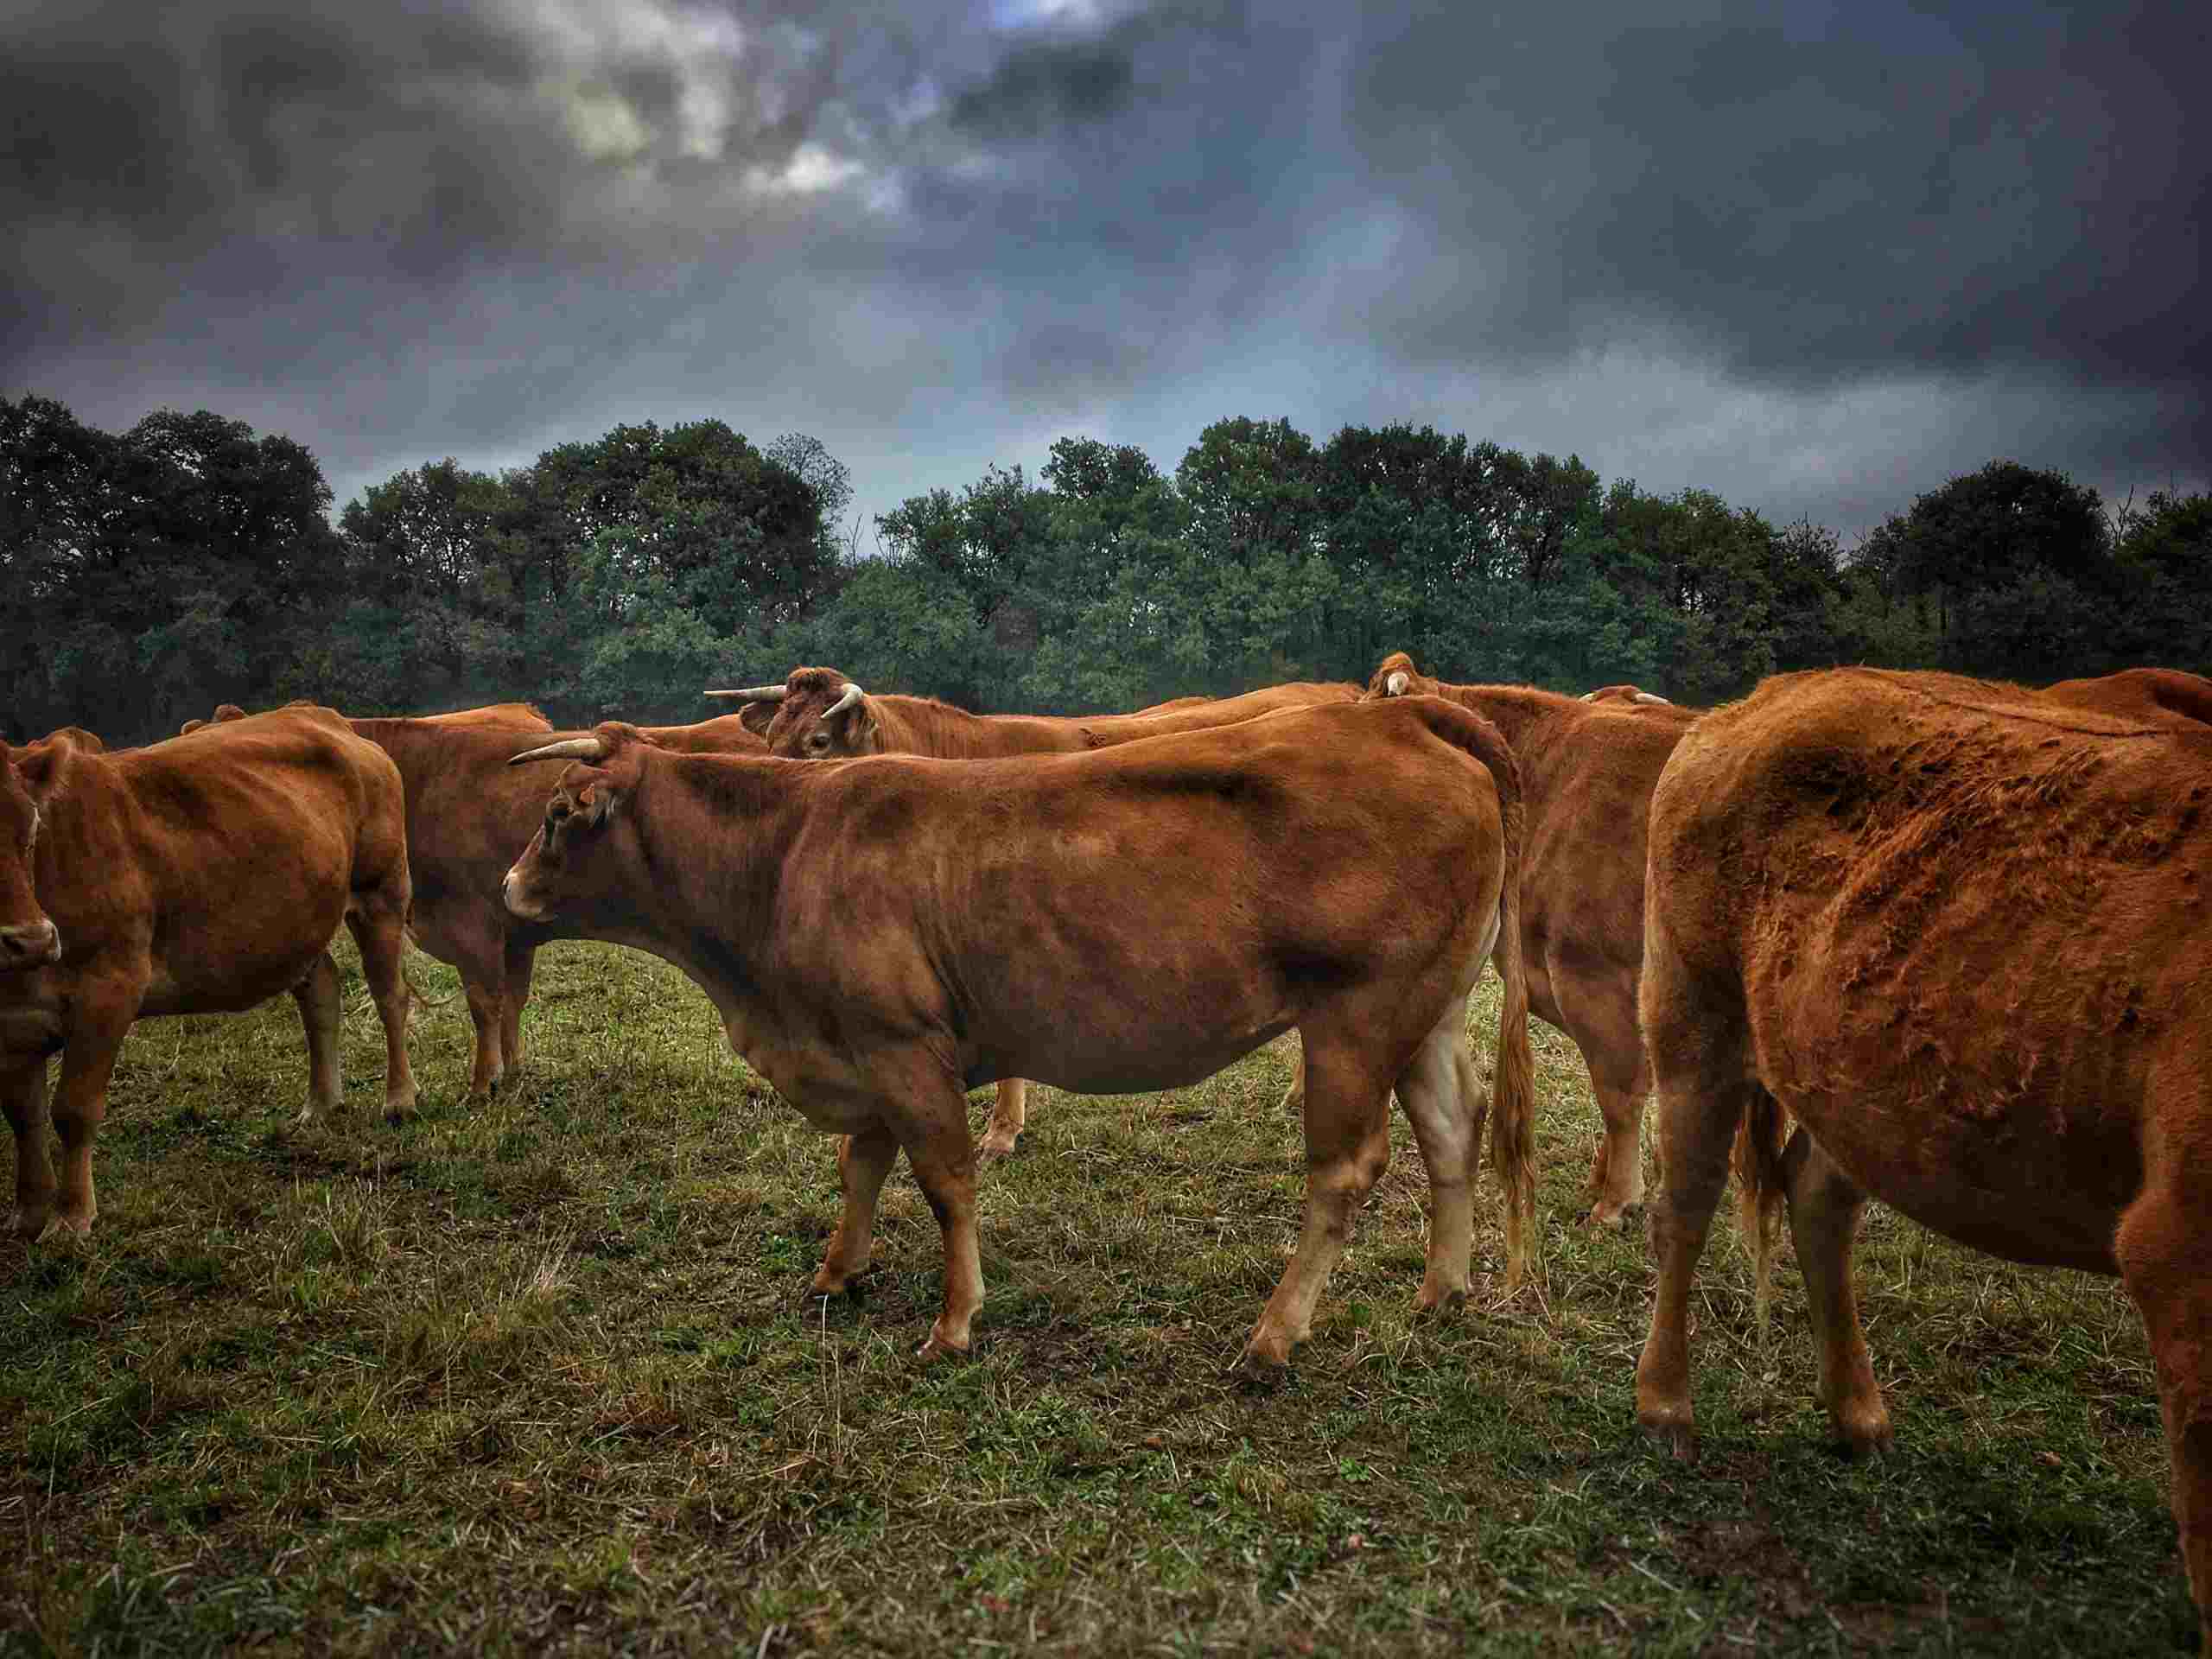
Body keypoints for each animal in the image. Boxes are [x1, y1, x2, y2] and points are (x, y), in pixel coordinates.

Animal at [0, 706, 417, 1238]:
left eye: (31, 828)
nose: (31, 940)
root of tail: (318, 714)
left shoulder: (109, 987)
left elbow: (73, 1110)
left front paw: (71, 1219)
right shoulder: (13, 1024)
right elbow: (23, 1116)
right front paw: (28, 1212)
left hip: (381, 891)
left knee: (390, 997)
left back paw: (400, 1098)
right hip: (299, 920)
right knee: (321, 988)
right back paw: (322, 1103)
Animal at [1631, 666, 2212, 1651]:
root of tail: (1753, 701)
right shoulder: (2178, 1253)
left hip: (1854, 1081)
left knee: (1816, 1197)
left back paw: (1858, 1417)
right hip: (1691, 1013)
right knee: (1687, 1203)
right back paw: (1666, 1406)